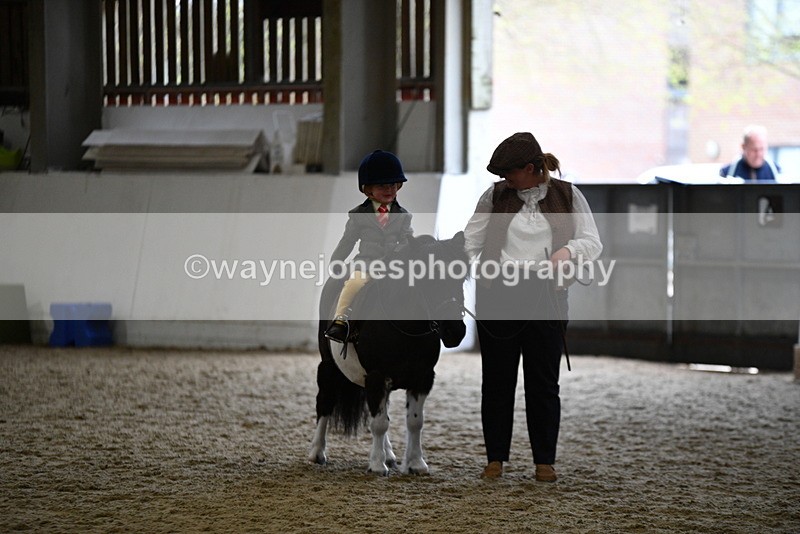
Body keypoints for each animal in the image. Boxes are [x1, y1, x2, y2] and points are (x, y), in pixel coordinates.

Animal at [308, 232, 468, 475]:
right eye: (428, 279)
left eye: (461, 278)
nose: (455, 332)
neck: (407, 329)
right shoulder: (376, 376)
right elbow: (379, 423)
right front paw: (376, 464)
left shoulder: (422, 378)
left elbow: (414, 422)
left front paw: (416, 463)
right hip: (328, 365)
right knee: (325, 401)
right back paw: (317, 453)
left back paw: (390, 455)